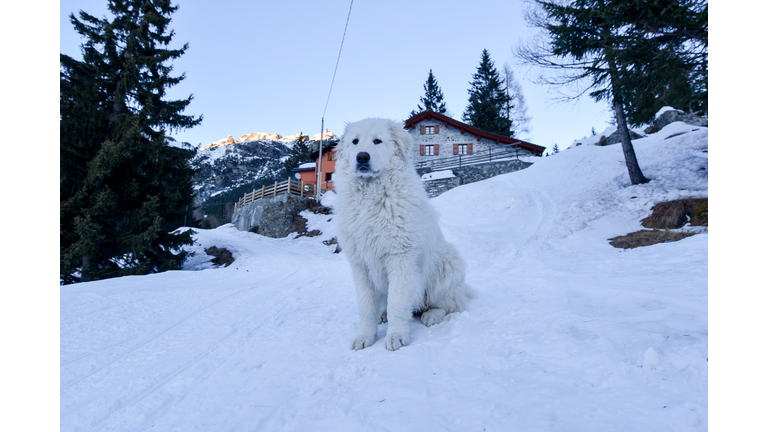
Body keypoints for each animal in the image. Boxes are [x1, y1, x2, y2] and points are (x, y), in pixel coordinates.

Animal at [334, 118, 474, 352]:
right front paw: (365, 336)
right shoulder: (360, 264)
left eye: (377, 141)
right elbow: (366, 306)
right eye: (354, 141)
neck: (371, 197)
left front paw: (396, 336)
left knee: (450, 306)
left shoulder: (400, 259)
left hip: (447, 266)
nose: (362, 156)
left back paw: (432, 315)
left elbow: (397, 304)